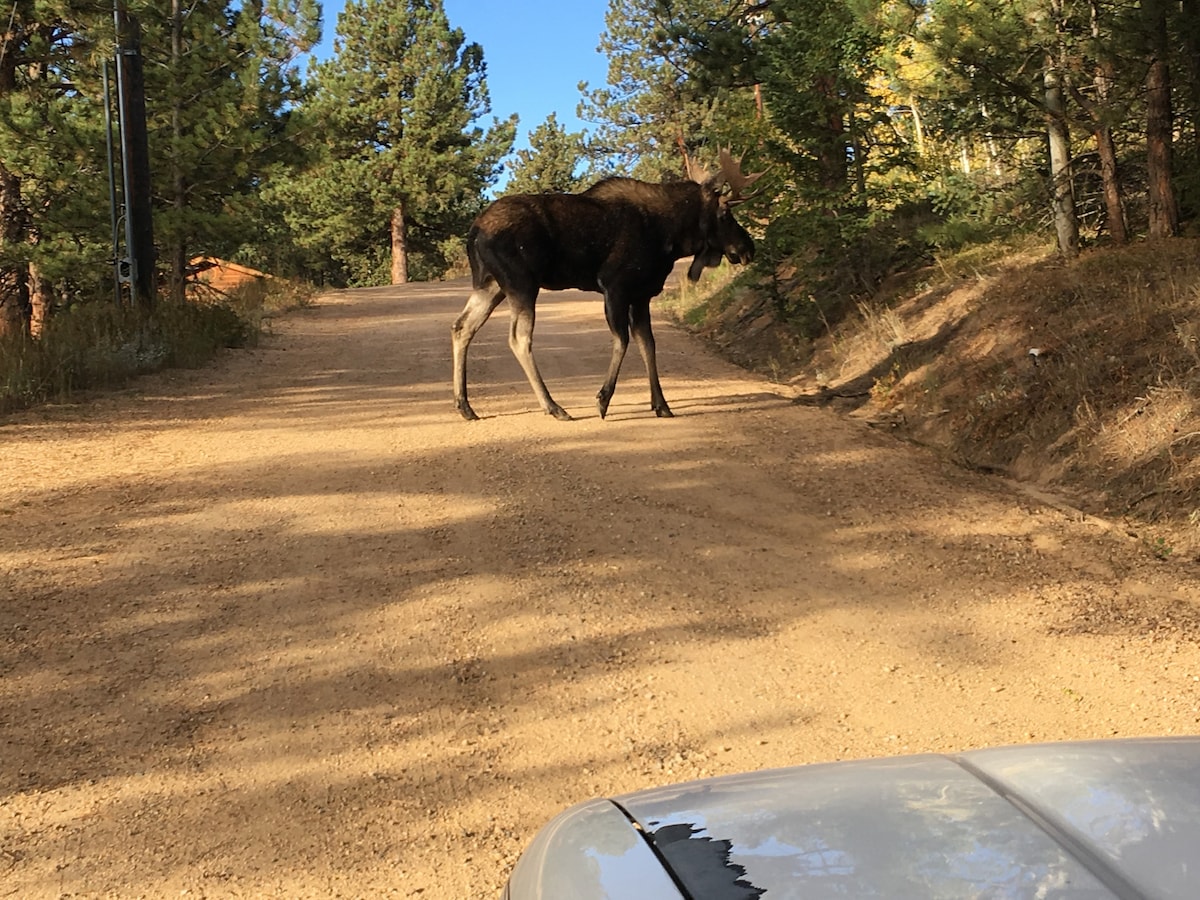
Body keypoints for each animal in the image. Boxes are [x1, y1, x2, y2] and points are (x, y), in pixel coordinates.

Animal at [451, 150, 758, 422]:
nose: (748, 248)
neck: (671, 238)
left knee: (462, 326)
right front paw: (603, 399)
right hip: (521, 284)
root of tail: (474, 232)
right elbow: (622, 340)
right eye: (725, 214)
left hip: (491, 285)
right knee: (518, 338)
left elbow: (648, 344)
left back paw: (465, 406)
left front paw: (661, 405)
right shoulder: (615, 286)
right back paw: (553, 407)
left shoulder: (642, 295)